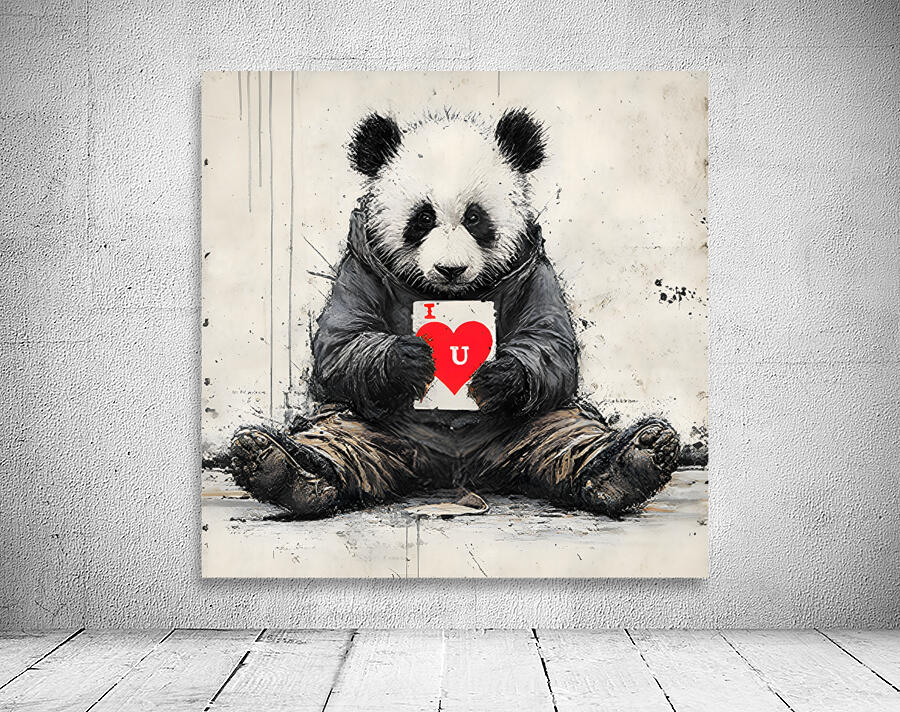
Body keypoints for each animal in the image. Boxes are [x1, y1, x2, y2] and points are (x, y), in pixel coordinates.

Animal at [229, 108, 680, 518]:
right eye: (422, 218)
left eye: (475, 217)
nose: (451, 269)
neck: (449, 294)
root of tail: (453, 470)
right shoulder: (359, 267)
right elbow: (340, 343)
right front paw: (407, 358)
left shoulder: (535, 272)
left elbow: (551, 342)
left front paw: (500, 373)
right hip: (385, 427)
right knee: (346, 434)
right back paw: (279, 466)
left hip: (518, 427)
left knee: (561, 431)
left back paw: (633, 461)